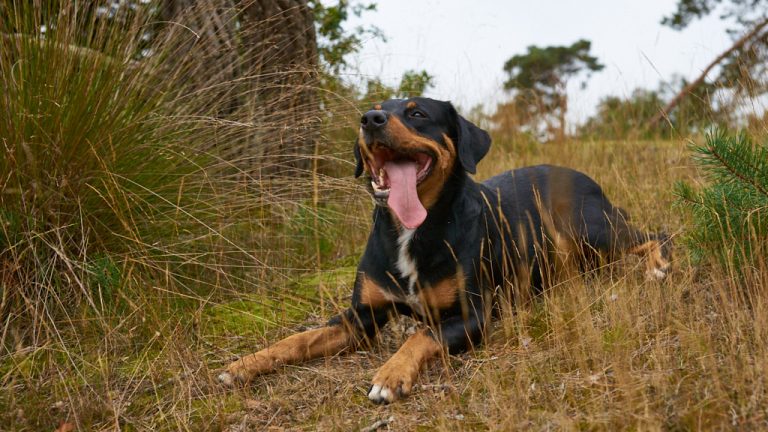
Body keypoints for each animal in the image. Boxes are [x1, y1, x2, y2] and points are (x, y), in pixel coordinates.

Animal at [218, 98, 672, 404]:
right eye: (375, 109)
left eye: (418, 113)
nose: (369, 120)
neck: (410, 231)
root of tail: (584, 177)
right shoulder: (359, 319)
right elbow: (297, 339)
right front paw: (245, 364)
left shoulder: (471, 316)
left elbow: (422, 334)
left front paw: (390, 374)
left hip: (588, 229)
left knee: (656, 234)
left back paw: (657, 268)